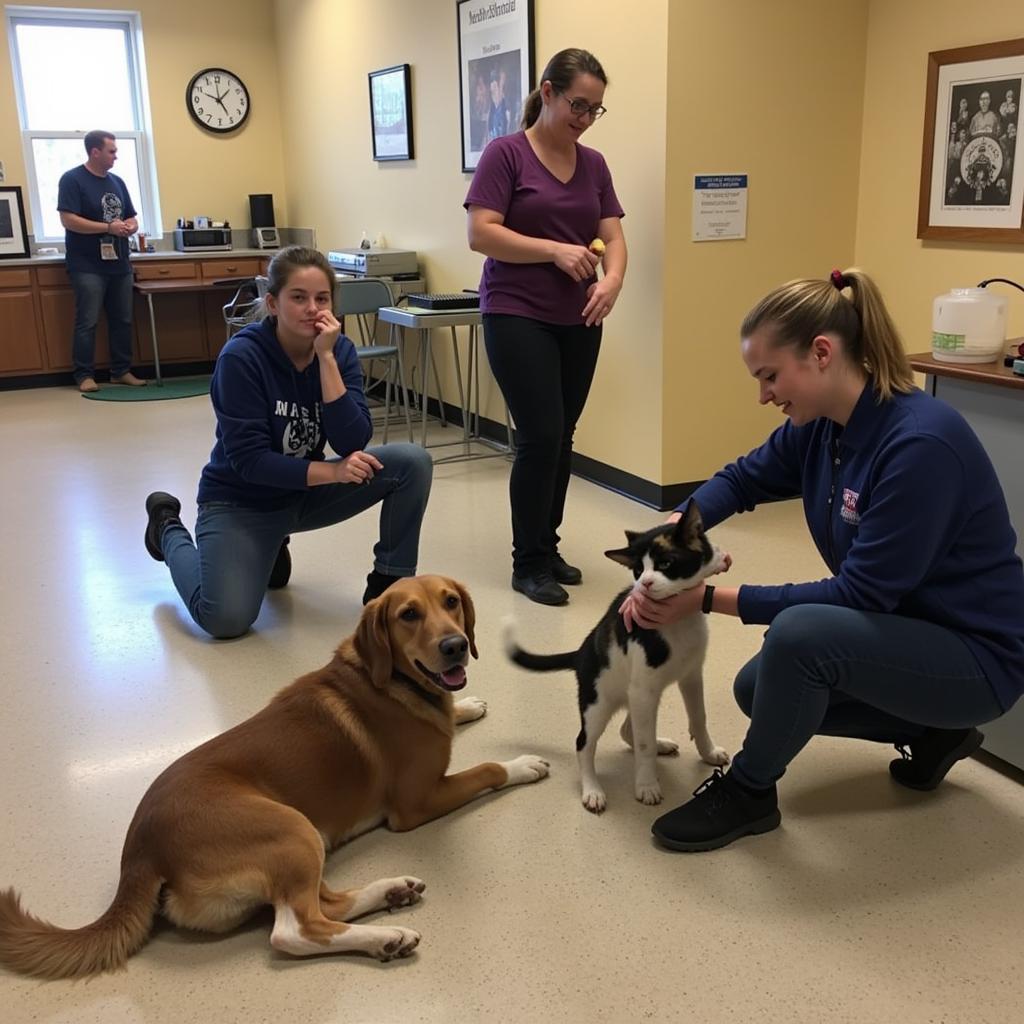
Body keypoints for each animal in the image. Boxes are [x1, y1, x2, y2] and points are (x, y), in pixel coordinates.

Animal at [0, 577, 552, 974]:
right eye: (408, 615)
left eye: (451, 602)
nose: (456, 646)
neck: (391, 680)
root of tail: (139, 851)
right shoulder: (415, 803)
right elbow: (485, 768)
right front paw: (521, 765)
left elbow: (456, 711)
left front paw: (468, 705)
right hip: (290, 829)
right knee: (295, 929)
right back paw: (386, 936)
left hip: (301, 841)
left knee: (325, 904)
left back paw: (392, 893)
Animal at [503, 503, 729, 815]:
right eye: (638, 569)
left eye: (666, 563)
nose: (644, 584)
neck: (677, 622)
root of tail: (580, 653)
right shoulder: (644, 690)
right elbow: (644, 746)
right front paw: (646, 786)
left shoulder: (691, 677)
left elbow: (699, 719)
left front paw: (709, 753)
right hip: (600, 703)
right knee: (584, 744)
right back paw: (592, 789)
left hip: (635, 694)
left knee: (628, 730)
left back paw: (660, 744)